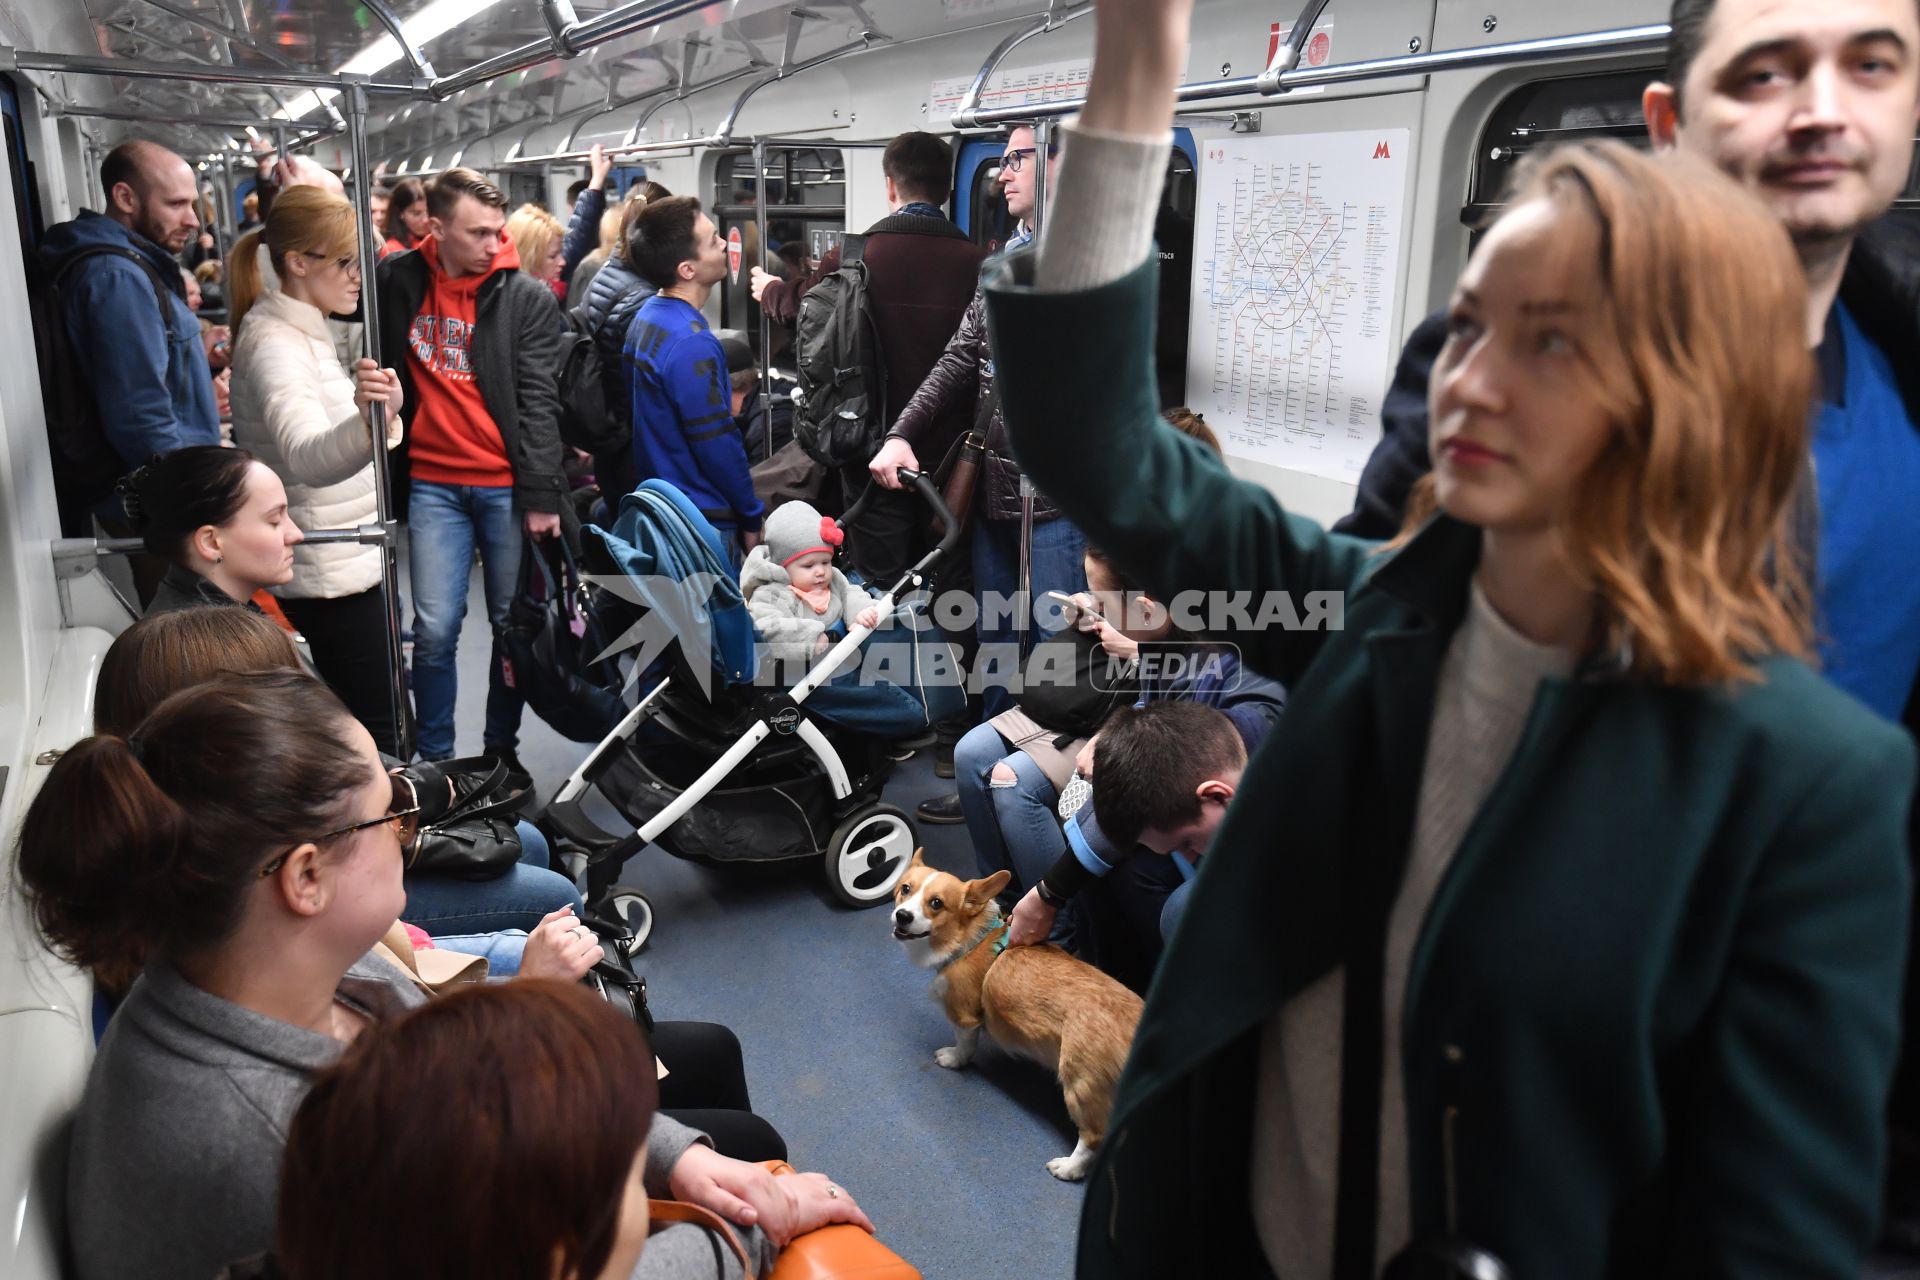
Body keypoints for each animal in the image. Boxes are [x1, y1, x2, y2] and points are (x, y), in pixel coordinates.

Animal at [894, 852, 1144, 1182]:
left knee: (1092, 1138)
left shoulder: (965, 1016)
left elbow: (965, 1045)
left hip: (1081, 1086)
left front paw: (953, 1058)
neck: (971, 939)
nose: (901, 916)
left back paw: (1068, 1167)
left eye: (936, 903)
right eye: (905, 889)